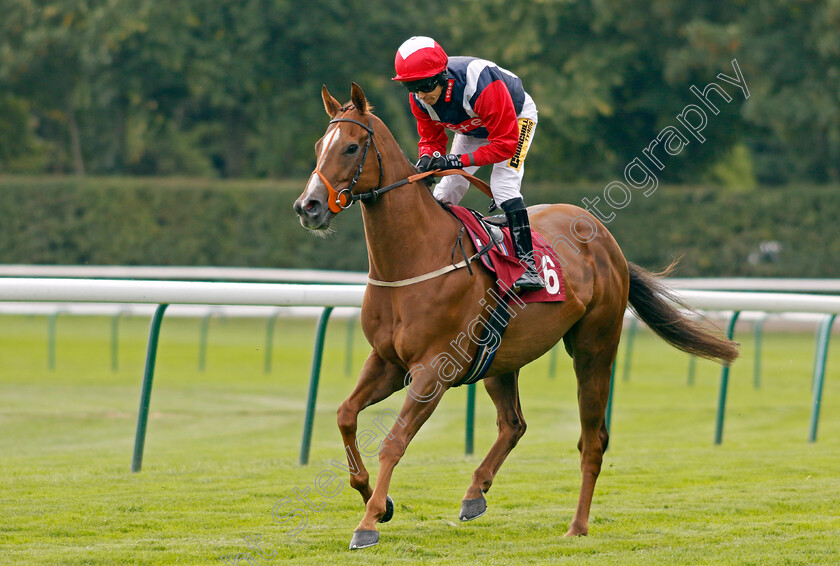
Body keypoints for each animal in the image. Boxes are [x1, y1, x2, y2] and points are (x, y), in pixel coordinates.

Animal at [292, 84, 740, 552]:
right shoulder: (387, 361)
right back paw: (475, 493)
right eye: (319, 146)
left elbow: (394, 441)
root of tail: (605, 237)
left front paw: (368, 522)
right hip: (500, 359)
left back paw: (577, 525)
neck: (413, 258)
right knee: (514, 424)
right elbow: (345, 414)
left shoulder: (433, 370)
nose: (308, 206)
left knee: (592, 440)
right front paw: (377, 500)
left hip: (595, 348)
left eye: (351, 147)